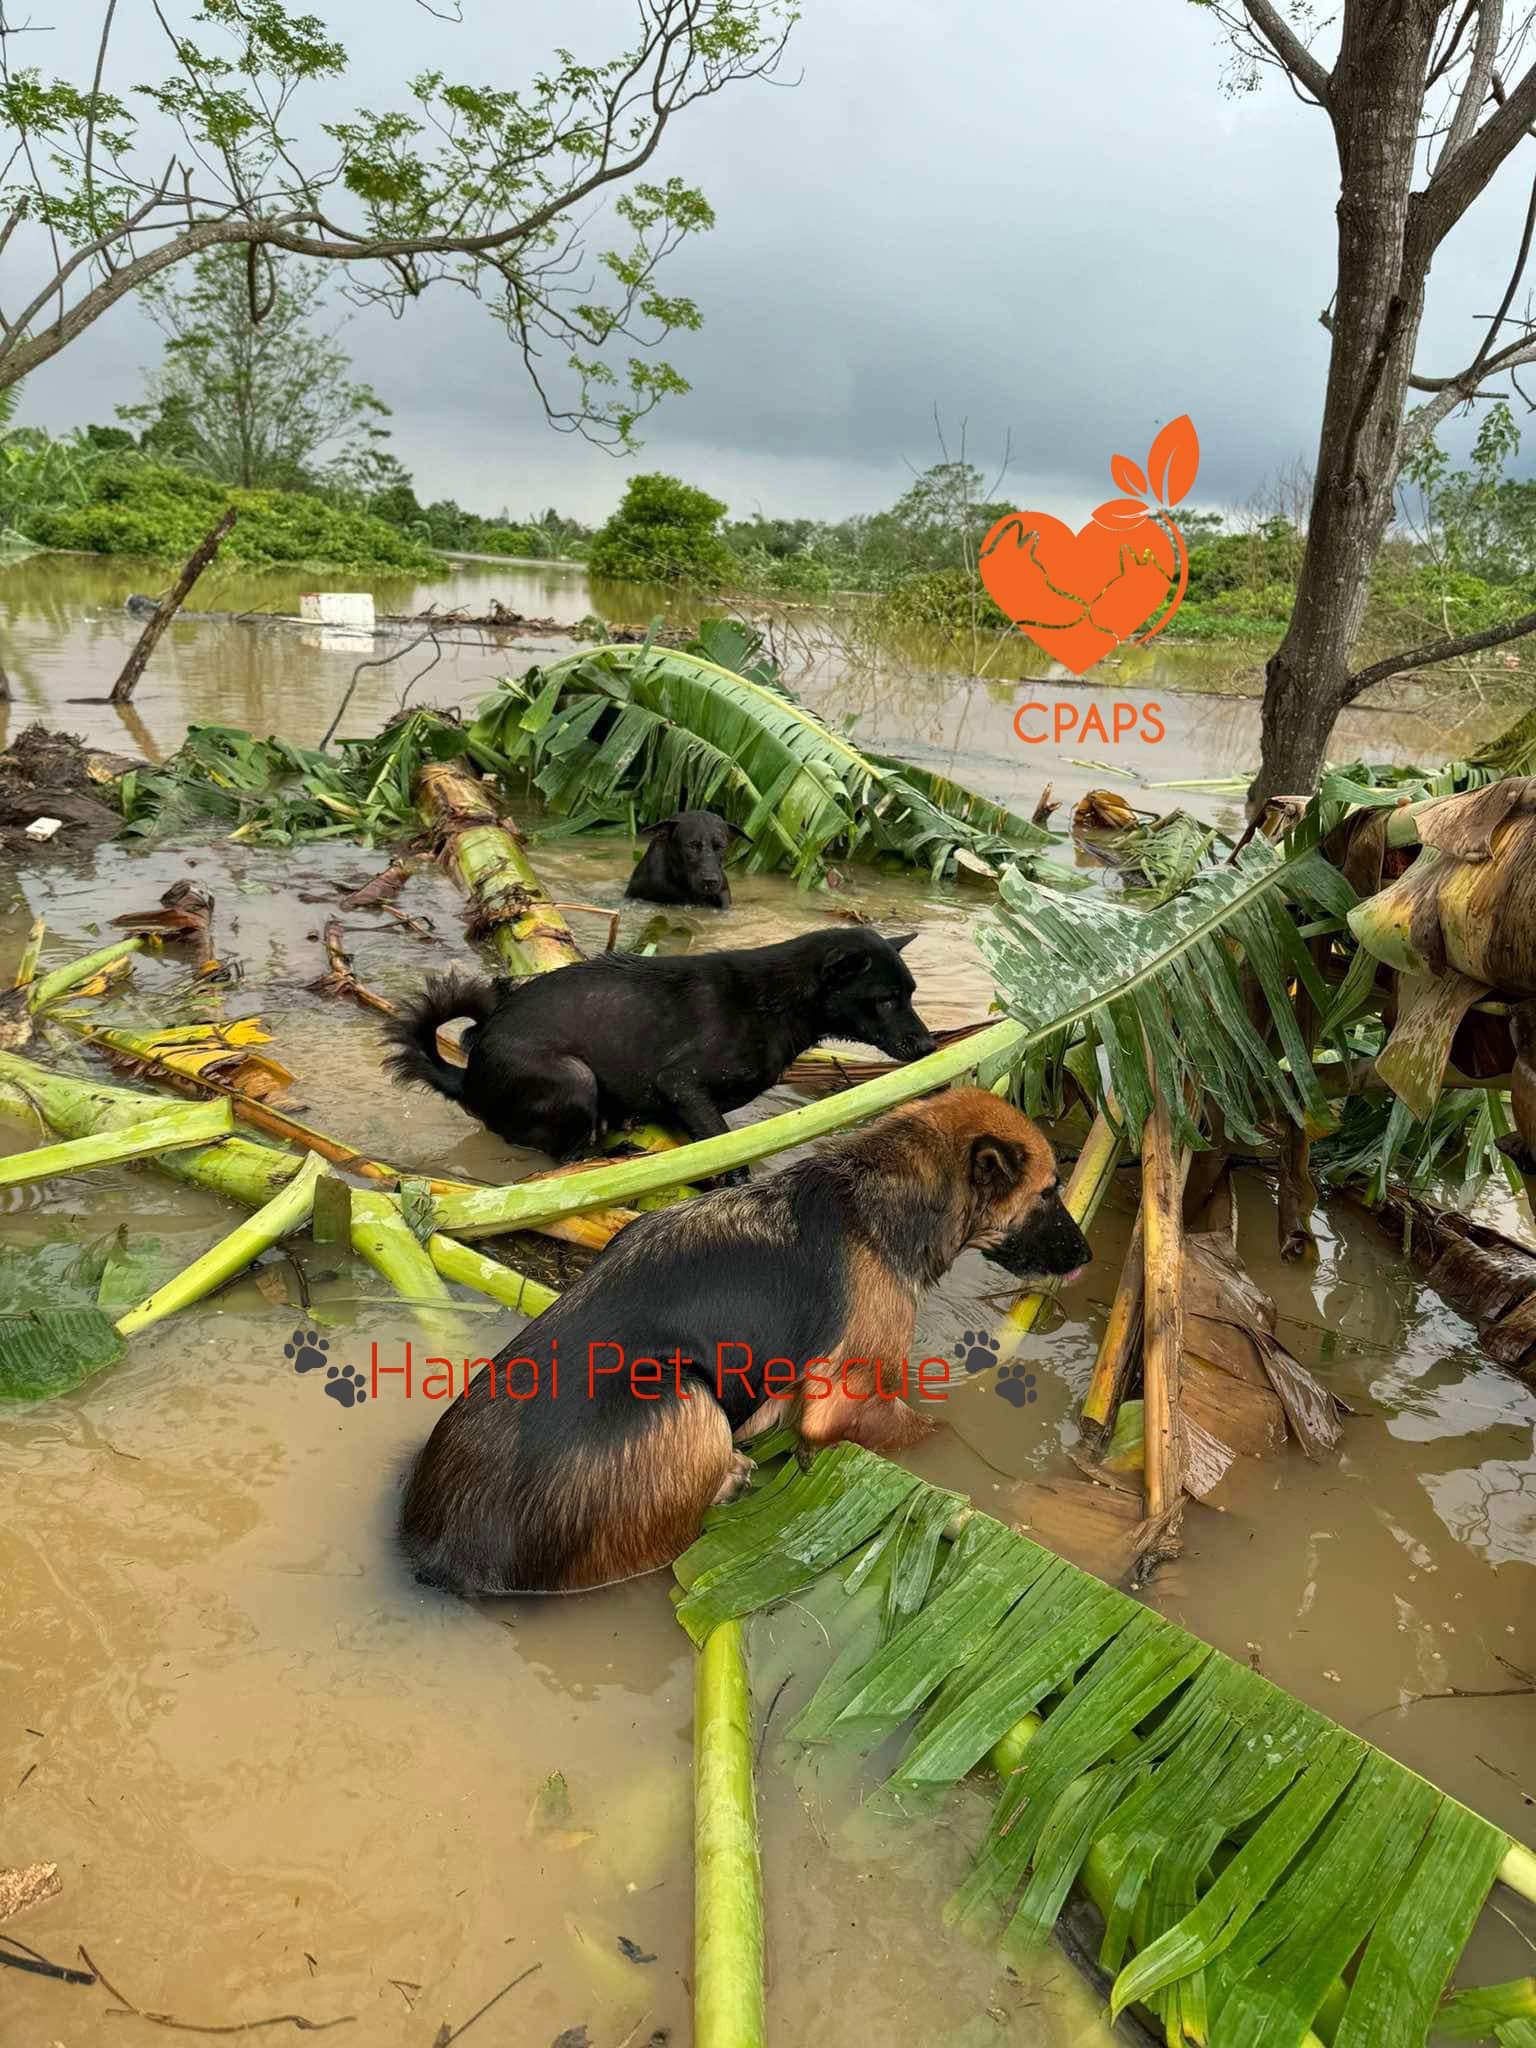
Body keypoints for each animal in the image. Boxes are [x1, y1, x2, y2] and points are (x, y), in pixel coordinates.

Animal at [385, 933, 937, 1171]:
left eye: (910, 993)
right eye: (887, 999)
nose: (931, 1045)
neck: (776, 1000)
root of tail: (467, 1078)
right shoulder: (682, 1081)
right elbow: (722, 1144)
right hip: (574, 1079)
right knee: (562, 1157)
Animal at [397, 1089, 1097, 1597]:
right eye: (1047, 1193)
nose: (1089, 1257)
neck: (876, 1191)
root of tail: (446, 1557)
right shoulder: (849, 1401)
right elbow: (933, 1430)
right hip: (678, 1396)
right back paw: (730, 1475)